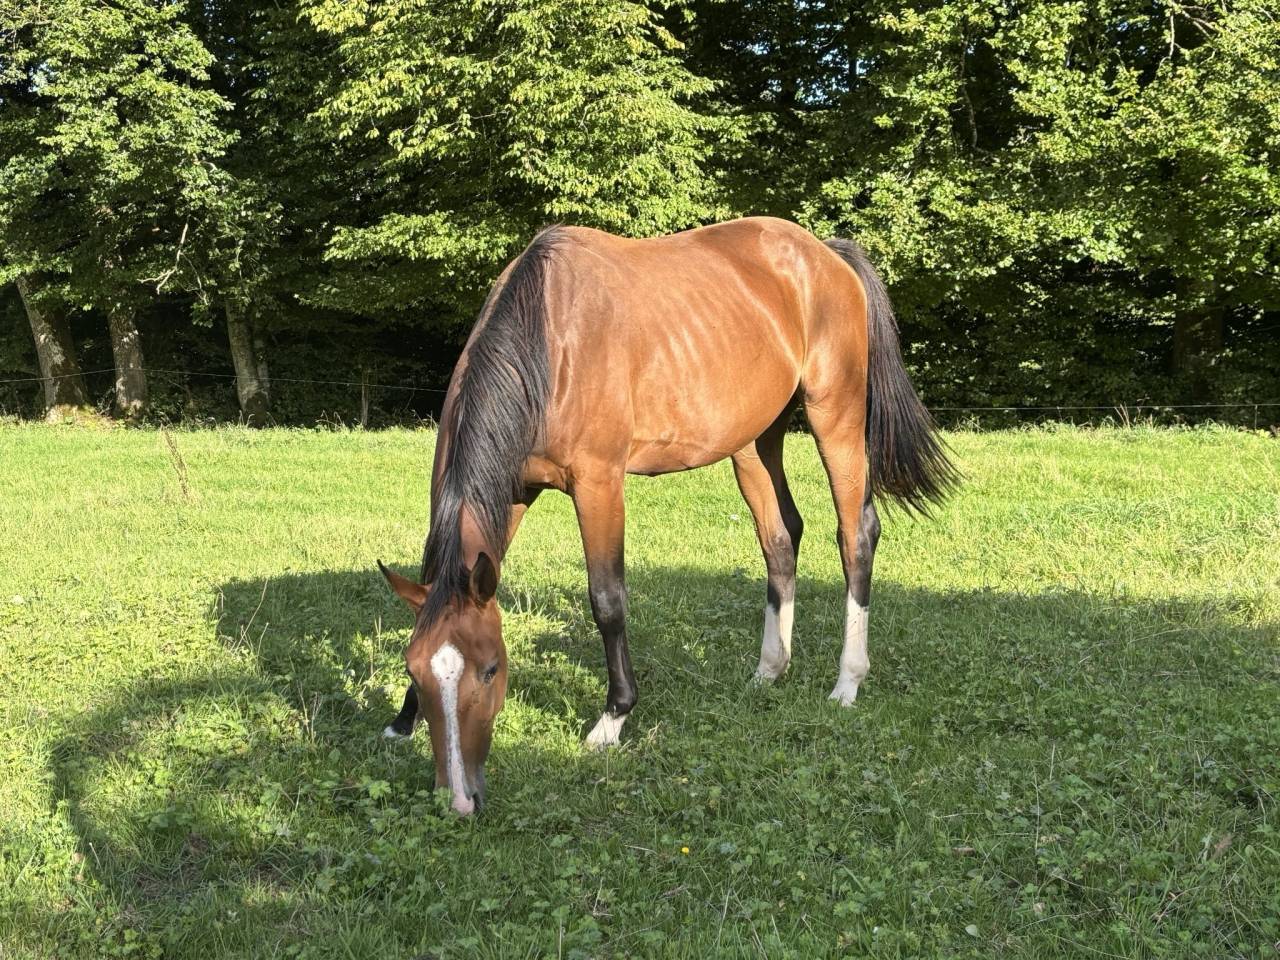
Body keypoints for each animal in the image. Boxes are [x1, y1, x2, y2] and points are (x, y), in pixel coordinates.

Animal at [376, 216, 955, 815]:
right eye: (414, 668)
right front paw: (402, 721)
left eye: (490, 669)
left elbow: (607, 600)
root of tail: (827, 255)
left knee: (855, 534)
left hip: (835, 413)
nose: (459, 799)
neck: (549, 341)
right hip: (754, 440)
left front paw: (613, 719)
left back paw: (847, 681)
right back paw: (769, 671)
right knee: (780, 537)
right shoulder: (514, 492)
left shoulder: (599, 485)